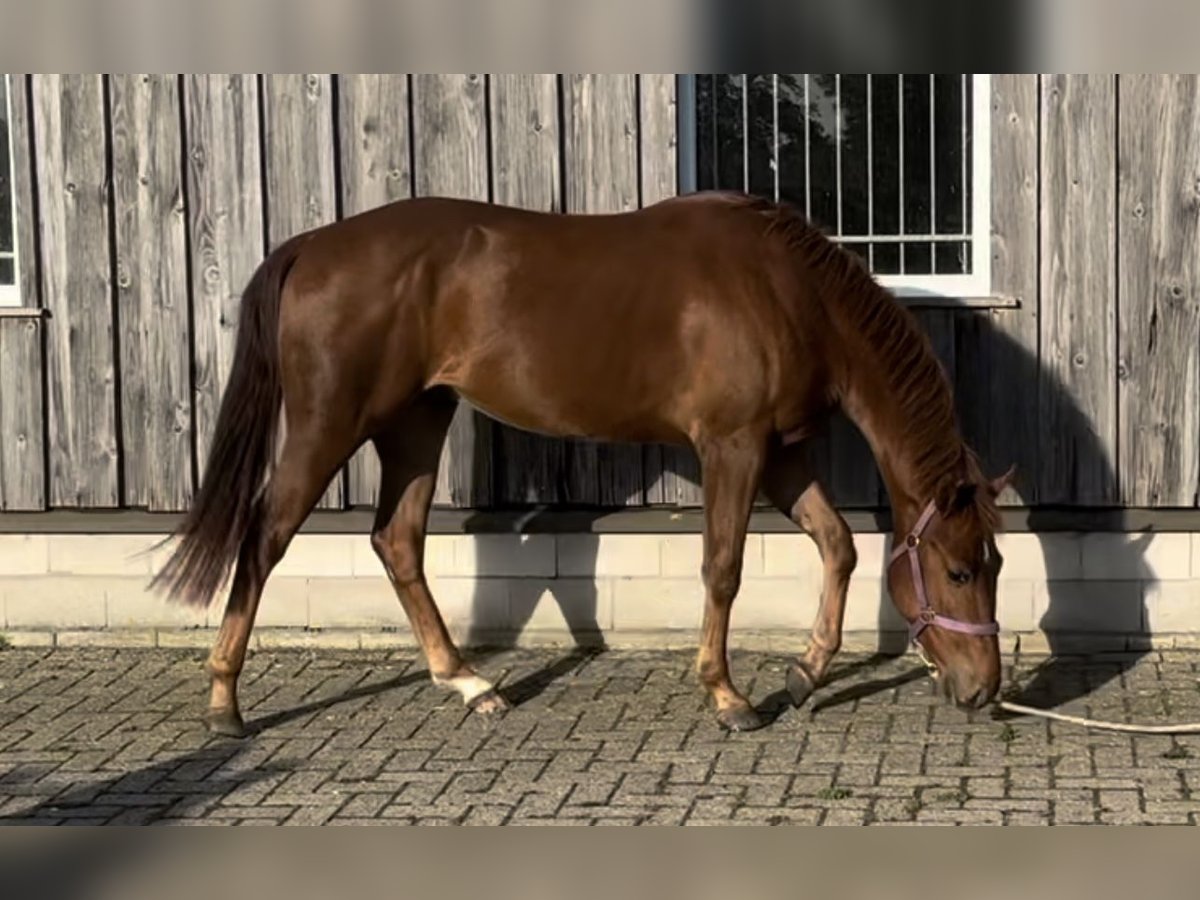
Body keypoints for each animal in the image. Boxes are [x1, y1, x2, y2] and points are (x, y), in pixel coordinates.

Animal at [150, 188, 1012, 734]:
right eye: (960, 570)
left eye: (997, 565)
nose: (984, 692)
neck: (789, 293)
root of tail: (309, 247)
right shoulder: (734, 447)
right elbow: (723, 568)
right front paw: (728, 697)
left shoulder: (783, 454)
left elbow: (836, 546)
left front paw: (804, 675)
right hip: (330, 423)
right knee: (265, 536)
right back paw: (225, 704)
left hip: (417, 421)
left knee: (397, 541)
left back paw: (468, 683)